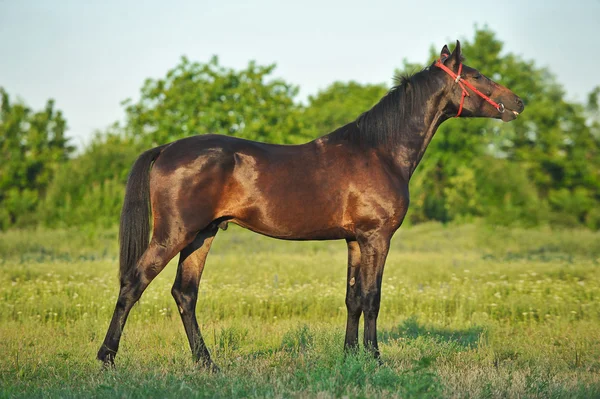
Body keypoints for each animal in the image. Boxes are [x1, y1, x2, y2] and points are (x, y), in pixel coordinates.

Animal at [98, 42, 524, 370]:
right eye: (477, 76)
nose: (518, 101)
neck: (379, 151)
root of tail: (167, 148)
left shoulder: (354, 241)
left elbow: (353, 298)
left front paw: (350, 357)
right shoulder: (377, 238)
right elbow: (373, 298)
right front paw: (375, 358)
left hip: (201, 236)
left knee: (185, 294)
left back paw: (207, 363)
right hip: (173, 235)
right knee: (133, 283)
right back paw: (107, 358)